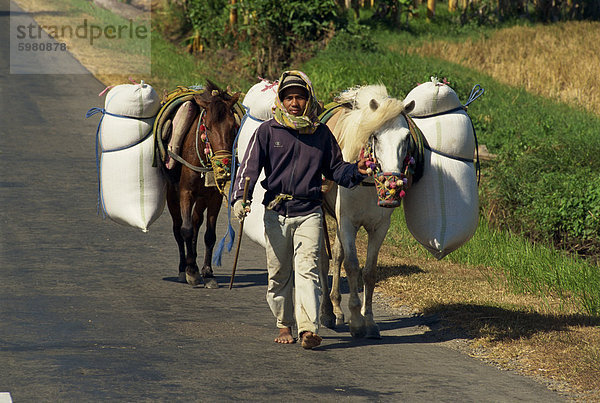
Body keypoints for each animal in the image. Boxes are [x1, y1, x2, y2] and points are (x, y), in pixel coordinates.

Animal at [164, 82, 241, 288]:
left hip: (202, 198)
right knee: (178, 228)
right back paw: (183, 268)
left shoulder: (214, 197)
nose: (224, 166)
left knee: (196, 222)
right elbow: (186, 230)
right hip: (172, 195)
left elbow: (209, 235)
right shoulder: (185, 193)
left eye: (233, 126)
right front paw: (191, 271)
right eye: (207, 127)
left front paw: (207, 272)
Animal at [234, 82, 418, 340]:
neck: (366, 183)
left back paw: (337, 310)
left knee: (337, 256)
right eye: (375, 136)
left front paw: (369, 321)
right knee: (322, 261)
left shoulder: (379, 227)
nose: (392, 185)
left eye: (406, 137)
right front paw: (357, 322)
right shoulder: (347, 223)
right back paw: (328, 313)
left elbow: (369, 272)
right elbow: (352, 266)